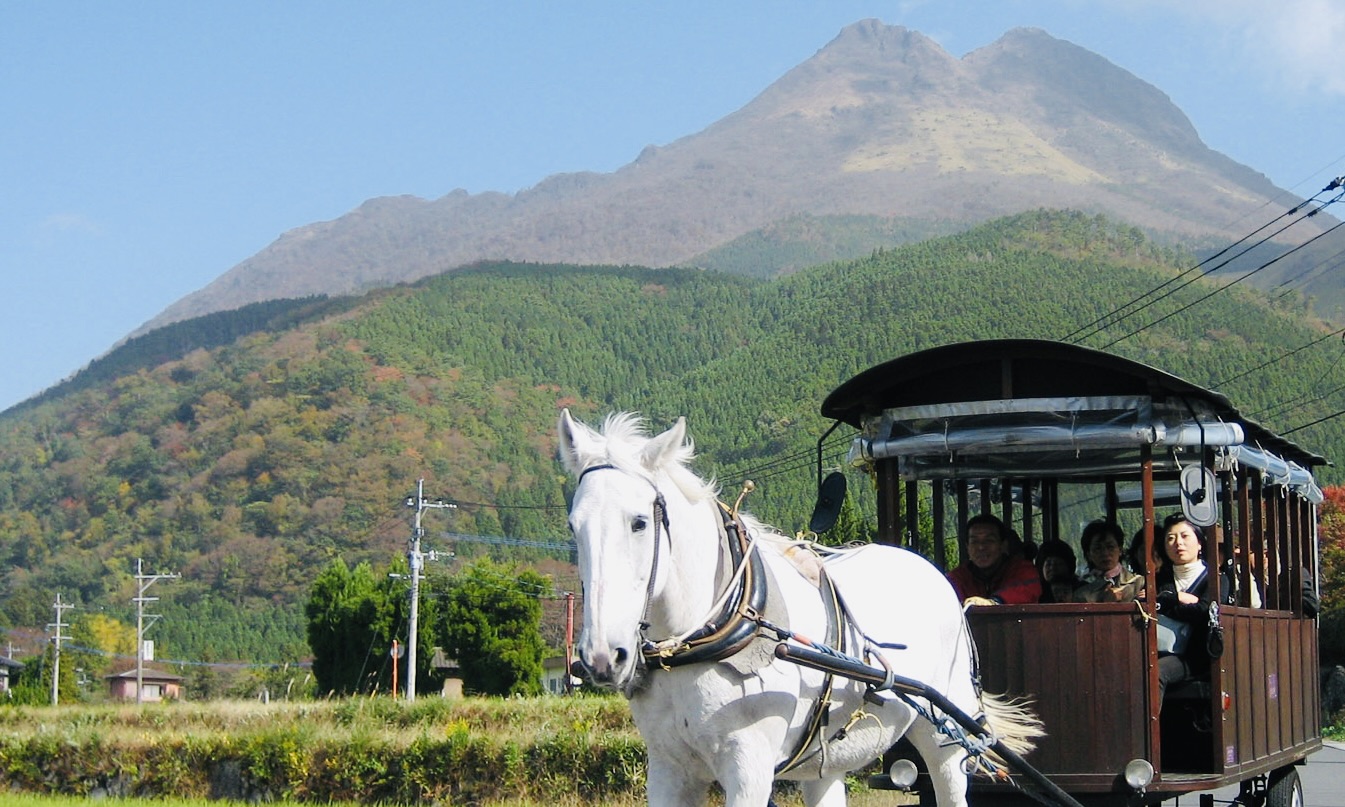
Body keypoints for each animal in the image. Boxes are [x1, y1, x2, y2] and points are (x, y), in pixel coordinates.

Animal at [558, 410, 1043, 807]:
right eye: (573, 526)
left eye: (639, 523)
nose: (601, 657)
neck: (705, 634)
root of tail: (924, 565)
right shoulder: (668, 769)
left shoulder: (748, 770)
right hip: (823, 758)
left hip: (945, 731)